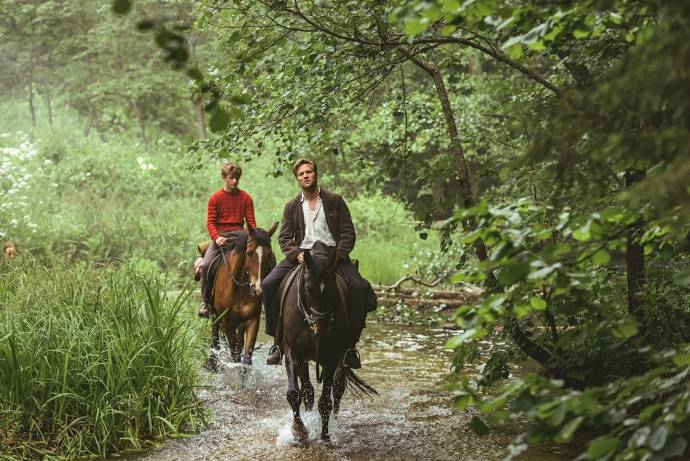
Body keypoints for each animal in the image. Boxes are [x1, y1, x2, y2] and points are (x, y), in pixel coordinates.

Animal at [207, 221, 276, 368]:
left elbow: (245, 360)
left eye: (269, 255)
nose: (258, 289)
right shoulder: (227, 322)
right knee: (216, 342)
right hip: (215, 316)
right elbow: (235, 357)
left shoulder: (252, 320)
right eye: (248, 253)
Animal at [280, 239, 376, 440]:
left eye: (332, 289)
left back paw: (335, 420)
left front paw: (325, 435)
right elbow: (294, 393)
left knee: (337, 389)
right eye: (308, 288)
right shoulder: (292, 352)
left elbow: (325, 401)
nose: (321, 330)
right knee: (308, 390)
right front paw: (299, 430)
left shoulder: (330, 357)